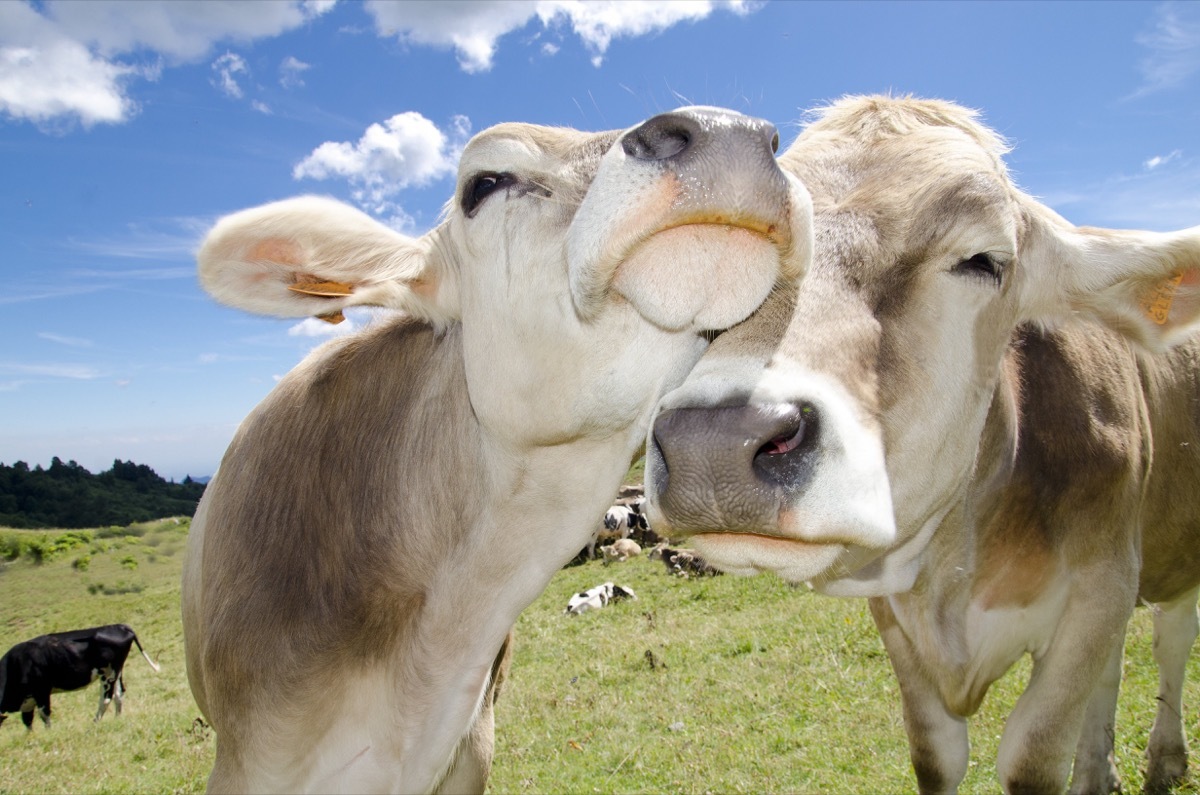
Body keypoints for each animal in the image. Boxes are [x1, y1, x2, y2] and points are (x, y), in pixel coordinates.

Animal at [0, 624, 160, 729]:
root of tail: (121, 626)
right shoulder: (28, 701)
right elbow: (28, 721)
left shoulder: (42, 690)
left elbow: (44, 715)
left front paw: (48, 733)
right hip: (117, 670)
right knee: (119, 694)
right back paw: (117, 719)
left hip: (107, 673)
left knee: (106, 698)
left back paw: (95, 722)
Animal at [644, 95, 1200, 794]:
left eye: (985, 260)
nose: (712, 444)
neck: (955, 571)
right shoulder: (897, 619)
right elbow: (935, 755)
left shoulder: (1099, 589)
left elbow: (1032, 755)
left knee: (1171, 636)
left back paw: (1165, 757)